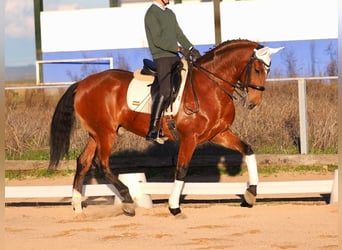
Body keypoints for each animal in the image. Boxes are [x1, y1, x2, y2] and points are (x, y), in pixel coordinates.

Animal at [48, 39, 284, 217]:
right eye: (257, 69)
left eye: (268, 69)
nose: (253, 102)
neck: (210, 86)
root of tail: (83, 83)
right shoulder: (190, 138)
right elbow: (181, 169)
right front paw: (174, 207)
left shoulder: (218, 133)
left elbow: (248, 150)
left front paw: (251, 194)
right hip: (106, 134)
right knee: (101, 163)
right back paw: (127, 201)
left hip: (96, 133)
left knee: (83, 162)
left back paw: (78, 207)